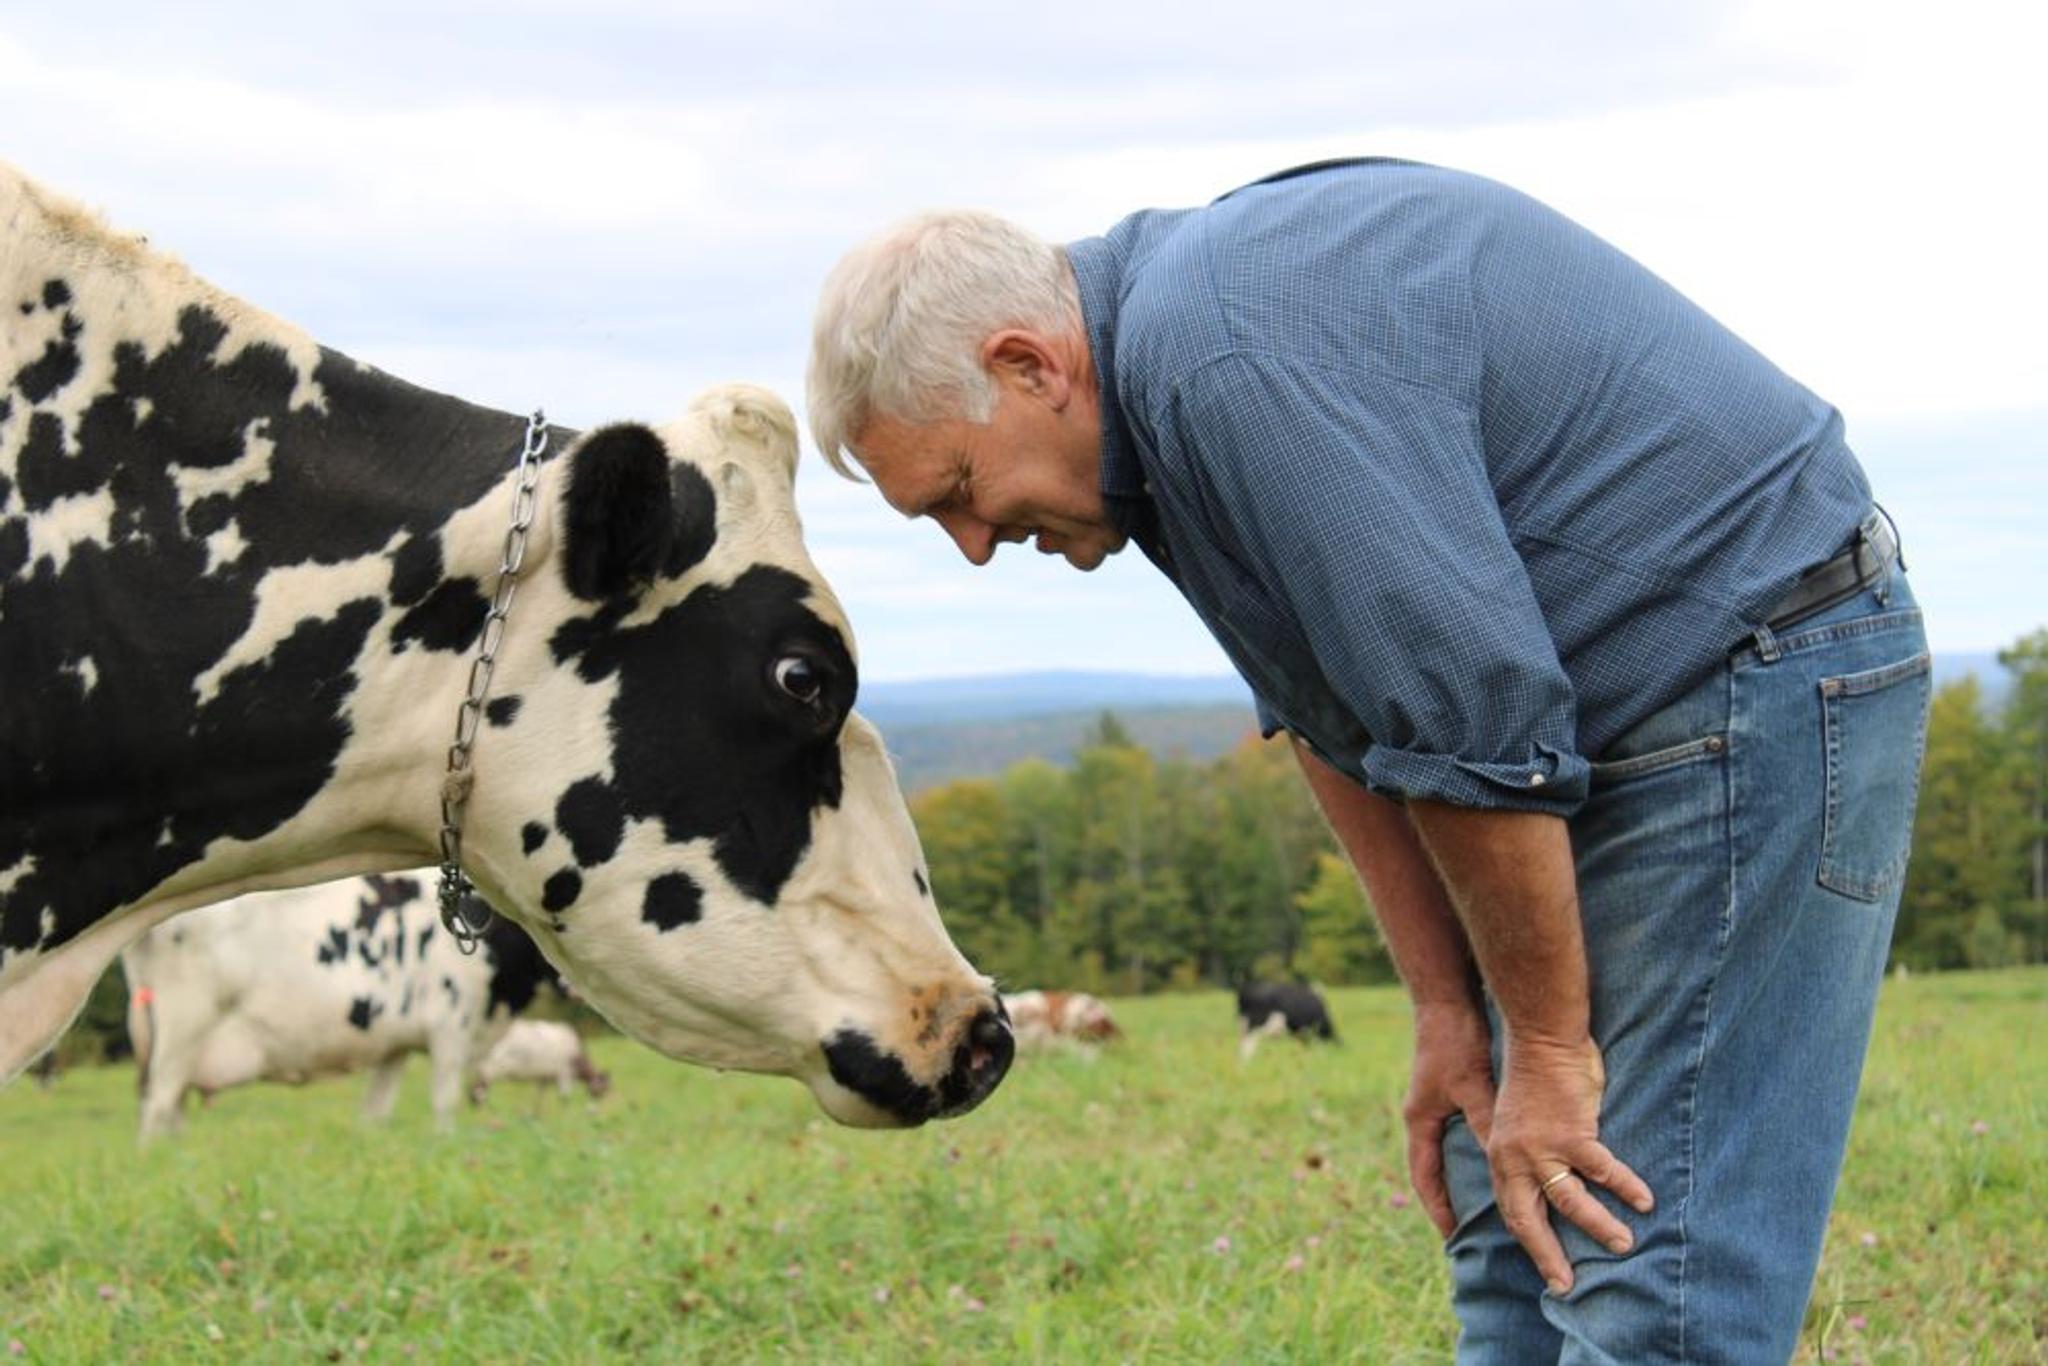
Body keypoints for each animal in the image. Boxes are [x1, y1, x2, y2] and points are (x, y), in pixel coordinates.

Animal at [124, 872, 561, 1138]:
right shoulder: (452, 1023)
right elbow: (444, 1101)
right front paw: (446, 1140)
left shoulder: (396, 1045)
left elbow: (376, 1111)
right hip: (184, 1025)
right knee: (158, 1105)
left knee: (171, 1106)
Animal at [471, 1015, 606, 1114]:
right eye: (597, 1093)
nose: (592, 1113)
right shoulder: (564, 1073)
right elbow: (564, 1098)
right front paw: (565, 1117)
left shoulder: (543, 1077)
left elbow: (539, 1097)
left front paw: (536, 1116)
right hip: (489, 1068)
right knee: (480, 1092)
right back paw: (484, 1114)